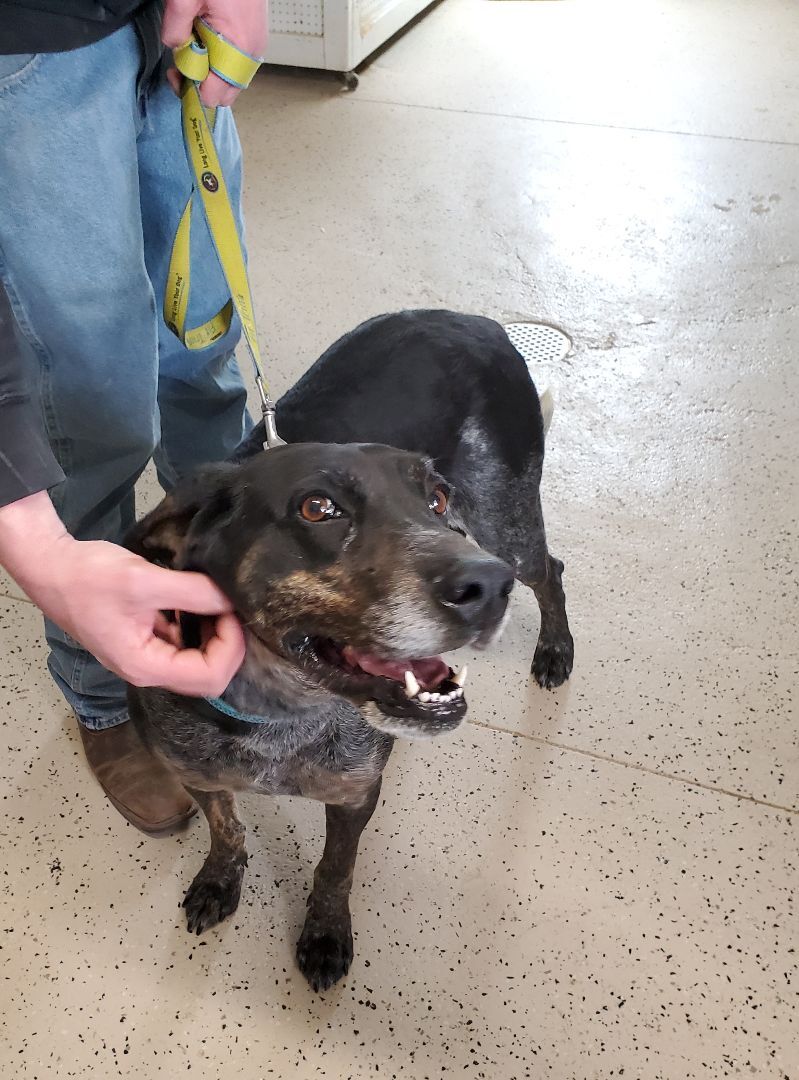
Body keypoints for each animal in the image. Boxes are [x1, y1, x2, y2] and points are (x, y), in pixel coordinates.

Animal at [126, 308, 574, 989]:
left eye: (435, 499)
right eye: (319, 508)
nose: (488, 587)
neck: (278, 712)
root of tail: (479, 321)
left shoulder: (355, 793)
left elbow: (336, 868)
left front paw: (325, 934)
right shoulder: (194, 773)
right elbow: (226, 830)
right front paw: (220, 880)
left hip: (506, 519)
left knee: (549, 568)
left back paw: (555, 647)